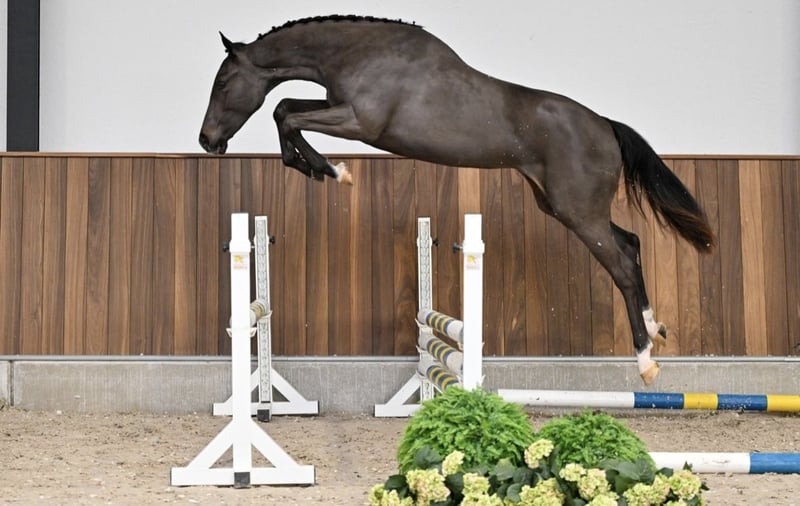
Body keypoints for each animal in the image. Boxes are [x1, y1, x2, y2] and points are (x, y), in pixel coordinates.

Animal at [199, 15, 714, 385]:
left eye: (223, 82)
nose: (207, 141)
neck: (360, 54)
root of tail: (605, 125)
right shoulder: (336, 107)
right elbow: (286, 109)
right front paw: (315, 168)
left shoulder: (361, 123)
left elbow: (285, 114)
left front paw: (334, 171)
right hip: (560, 206)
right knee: (631, 243)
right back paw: (655, 327)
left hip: (579, 213)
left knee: (622, 265)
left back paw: (645, 361)